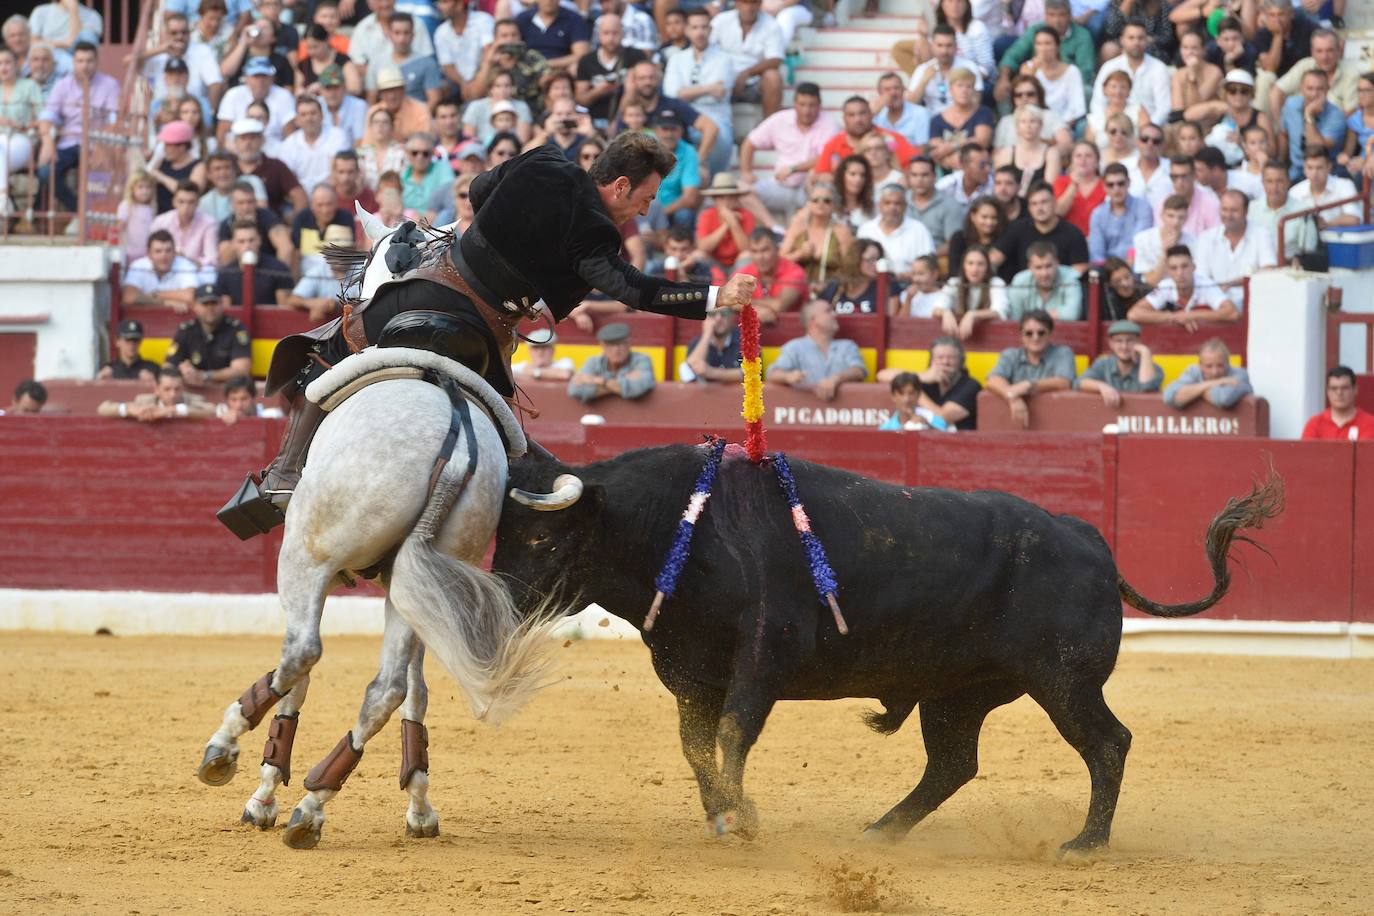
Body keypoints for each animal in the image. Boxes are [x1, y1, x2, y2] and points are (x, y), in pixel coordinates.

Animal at [195, 210, 579, 851]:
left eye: (354, 289)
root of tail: (456, 437)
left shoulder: (323, 570)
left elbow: (300, 680)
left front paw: (262, 792)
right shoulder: (419, 589)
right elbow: (417, 689)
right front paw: (419, 807)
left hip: (307, 556)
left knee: (303, 653)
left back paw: (226, 750)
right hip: (416, 576)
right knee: (388, 688)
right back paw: (313, 805)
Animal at [489, 444, 1280, 851]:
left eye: (541, 535)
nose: (497, 600)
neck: (682, 524)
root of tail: (1089, 539)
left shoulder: (763, 657)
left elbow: (733, 733)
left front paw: (741, 816)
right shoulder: (692, 673)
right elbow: (697, 745)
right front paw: (723, 813)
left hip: (1064, 682)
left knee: (1108, 744)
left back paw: (1085, 842)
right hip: (958, 693)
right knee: (954, 764)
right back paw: (879, 832)